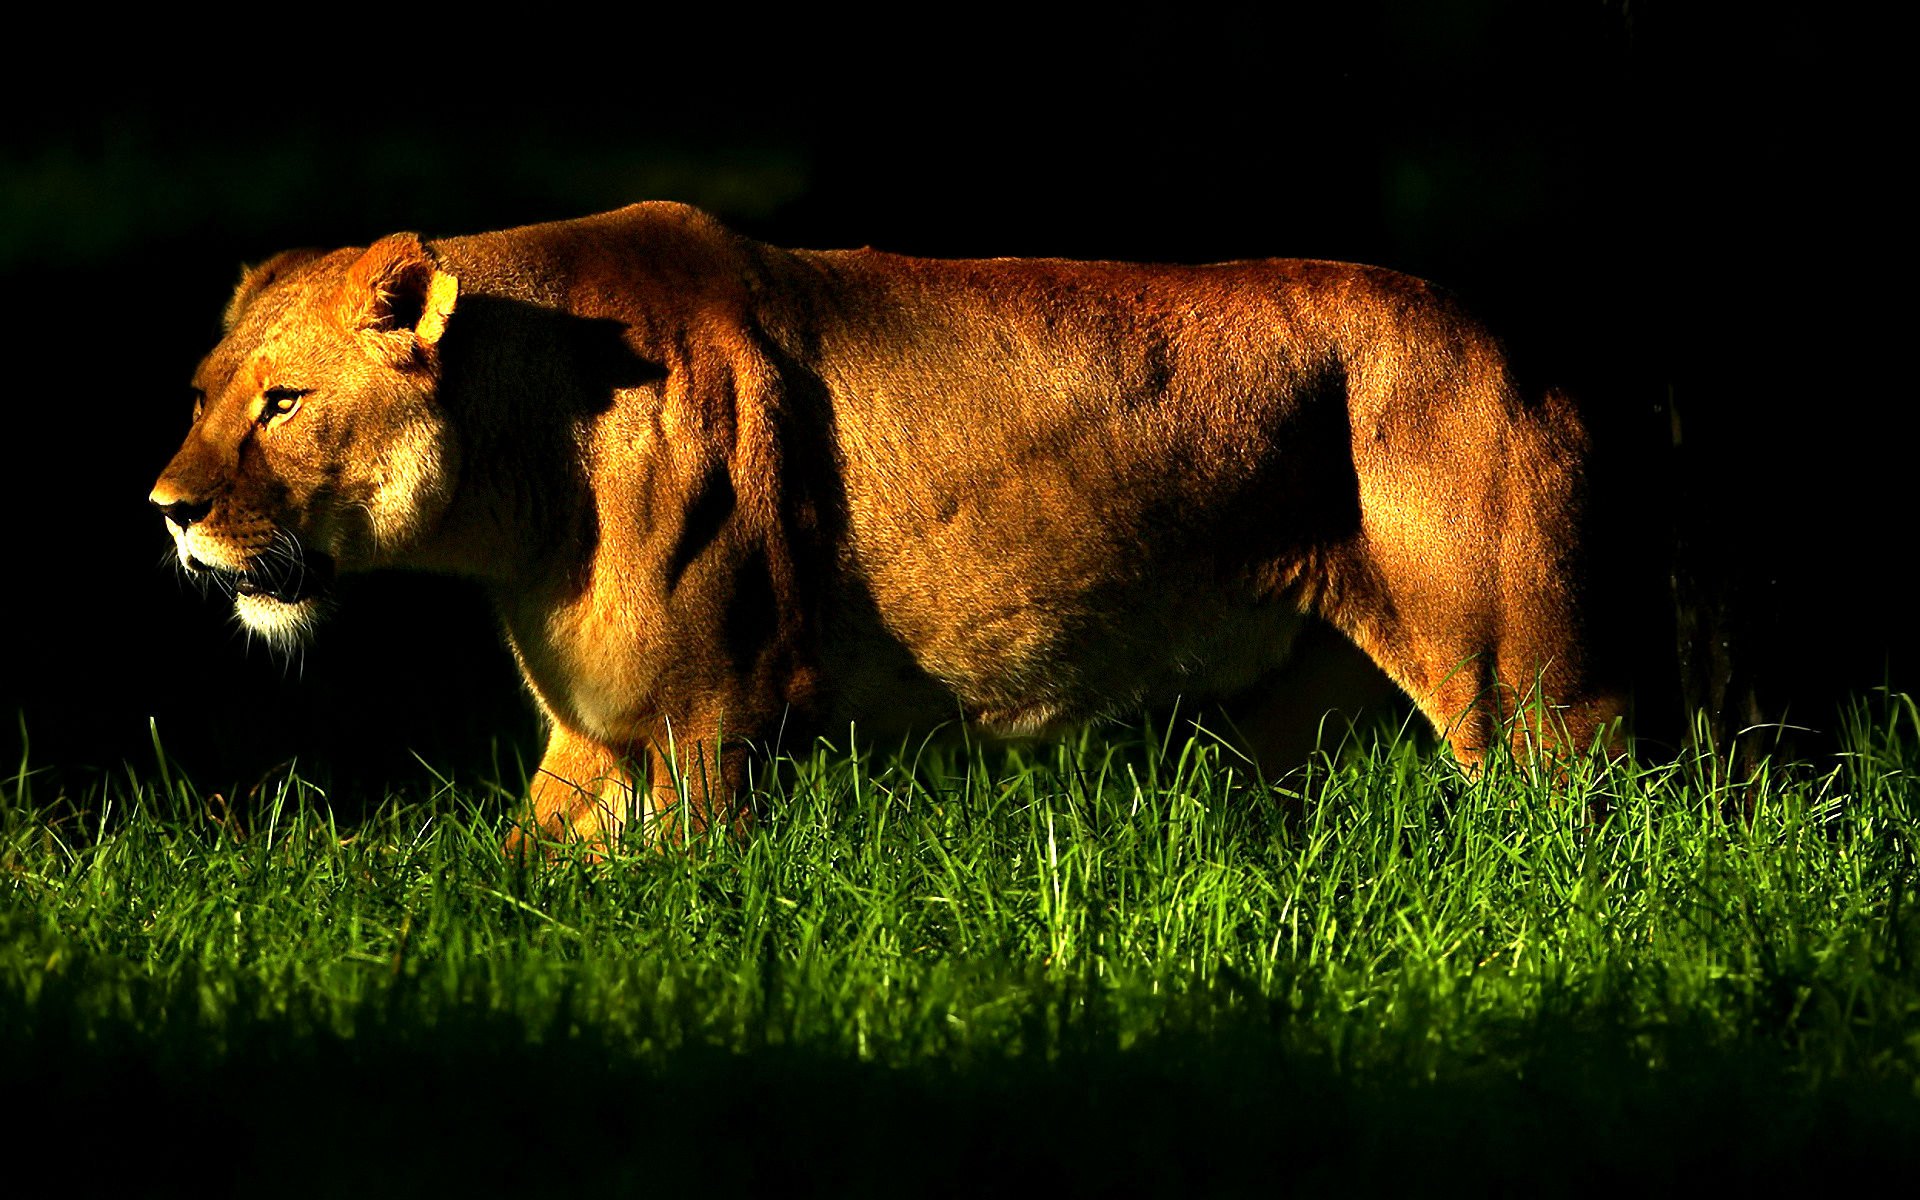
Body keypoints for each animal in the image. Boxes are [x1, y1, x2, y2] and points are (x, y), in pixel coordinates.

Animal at [153, 201, 1620, 848]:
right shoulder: (597, 726)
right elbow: (510, 879)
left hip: (1524, 684)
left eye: (283, 403)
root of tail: (1518, 346)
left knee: (1597, 825)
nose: (166, 512)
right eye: (203, 395)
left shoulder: (711, 715)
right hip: (1291, 722)